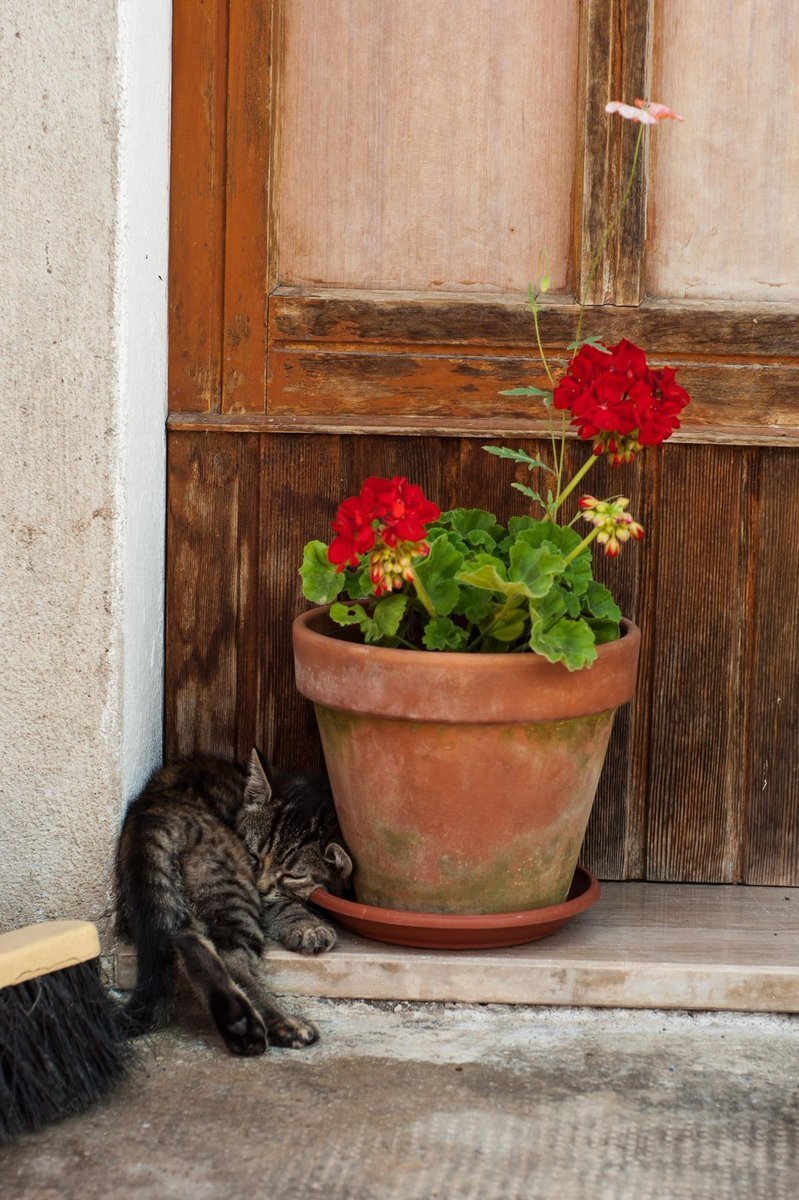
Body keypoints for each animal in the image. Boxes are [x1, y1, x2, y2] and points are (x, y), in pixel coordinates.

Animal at [113, 753, 350, 1056]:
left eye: (293, 875)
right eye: (253, 855)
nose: (261, 886)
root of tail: (154, 809)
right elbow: (283, 906)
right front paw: (308, 927)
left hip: (171, 905)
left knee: (184, 942)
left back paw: (239, 1024)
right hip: (233, 889)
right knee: (233, 957)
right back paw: (282, 1025)